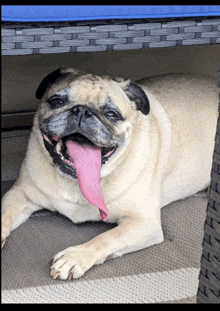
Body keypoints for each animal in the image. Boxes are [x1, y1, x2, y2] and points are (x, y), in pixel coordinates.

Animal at [1, 69, 218, 282]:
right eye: (57, 101)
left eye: (112, 114)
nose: (82, 110)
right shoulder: (20, 194)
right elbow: (5, 214)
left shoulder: (143, 222)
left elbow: (106, 238)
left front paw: (74, 257)